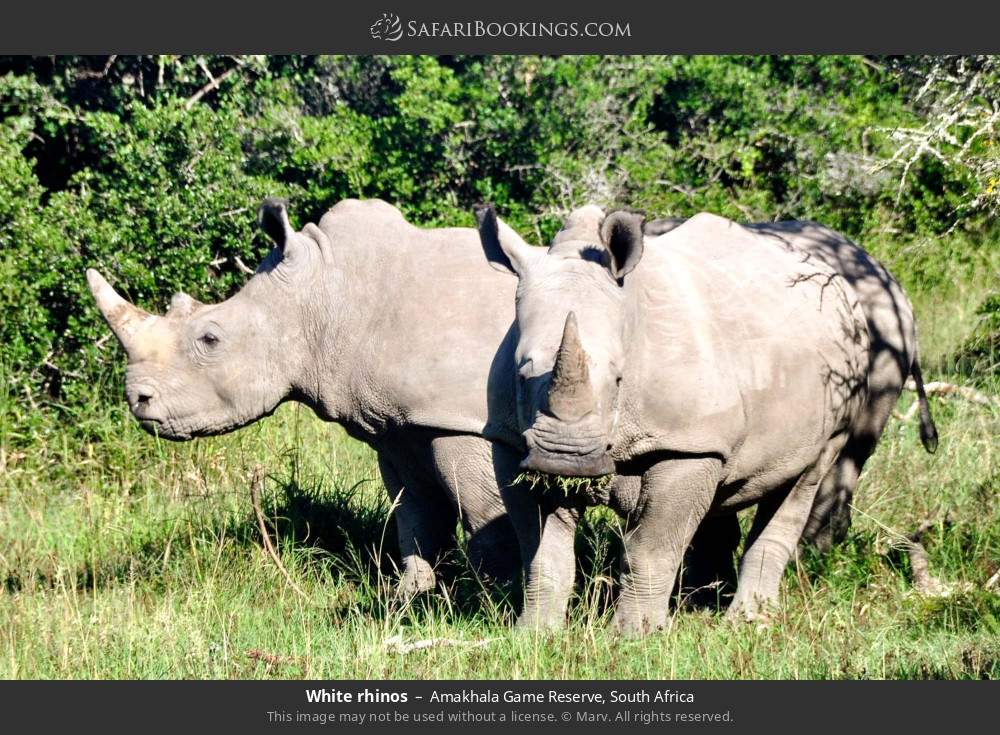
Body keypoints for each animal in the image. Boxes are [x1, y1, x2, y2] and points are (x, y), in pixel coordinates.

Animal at [87, 198, 538, 599]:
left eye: (210, 339)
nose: (137, 398)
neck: (327, 295)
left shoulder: (461, 422)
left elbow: (484, 517)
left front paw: (493, 599)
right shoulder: (399, 425)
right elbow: (415, 515)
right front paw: (411, 601)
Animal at [477, 204, 898, 633]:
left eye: (618, 378)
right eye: (522, 374)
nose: (565, 458)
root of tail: (842, 287)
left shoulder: (686, 447)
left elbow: (651, 549)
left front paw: (634, 636)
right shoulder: (510, 441)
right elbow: (542, 552)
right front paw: (534, 633)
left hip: (846, 379)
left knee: (806, 477)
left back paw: (747, 621)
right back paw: (700, 602)